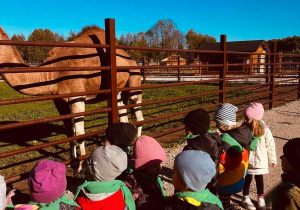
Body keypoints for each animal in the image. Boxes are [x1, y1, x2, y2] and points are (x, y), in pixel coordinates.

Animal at [0, 25, 144, 170]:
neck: (54, 71)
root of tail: (130, 59)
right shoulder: (59, 99)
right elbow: (70, 132)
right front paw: (71, 161)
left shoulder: (78, 97)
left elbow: (80, 133)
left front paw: (81, 165)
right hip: (118, 92)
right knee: (123, 116)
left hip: (134, 80)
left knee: (138, 113)